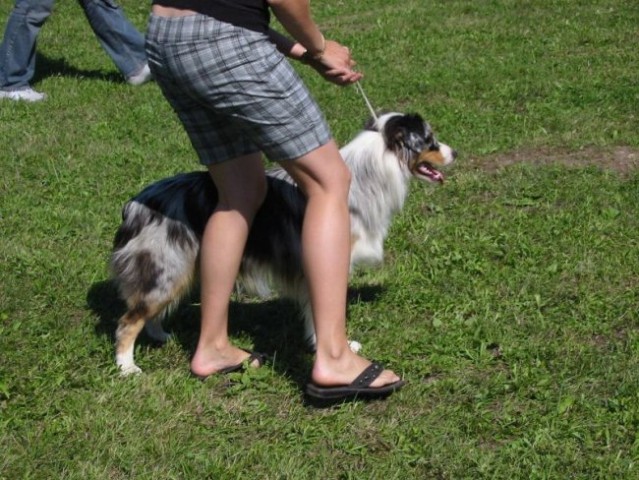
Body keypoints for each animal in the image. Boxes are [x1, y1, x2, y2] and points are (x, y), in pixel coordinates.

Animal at [112, 113, 458, 376]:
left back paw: (160, 336)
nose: (455, 153)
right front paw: (336, 349)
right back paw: (127, 367)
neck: (368, 176)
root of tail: (135, 204)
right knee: (128, 321)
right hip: (167, 266)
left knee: (148, 311)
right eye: (430, 140)